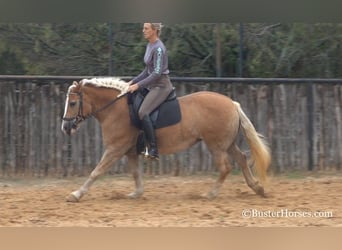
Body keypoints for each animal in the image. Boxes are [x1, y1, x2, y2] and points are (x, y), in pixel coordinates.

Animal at [60, 77, 270, 202]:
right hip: (227, 143)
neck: (116, 108)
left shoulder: (115, 149)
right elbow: (135, 173)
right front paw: (136, 193)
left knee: (225, 167)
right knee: (242, 159)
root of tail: (232, 103)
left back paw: (210, 194)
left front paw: (76, 194)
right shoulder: (129, 152)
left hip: (216, 146)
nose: (66, 128)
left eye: (73, 103)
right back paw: (257, 188)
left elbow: (96, 171)